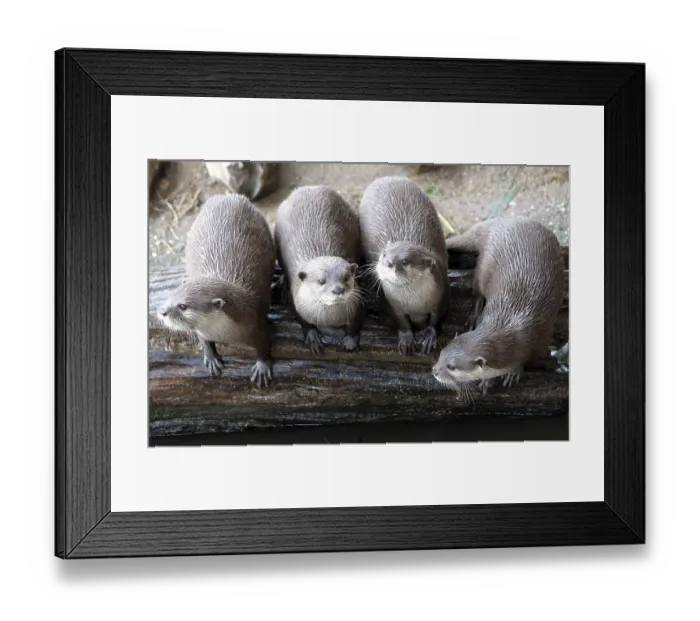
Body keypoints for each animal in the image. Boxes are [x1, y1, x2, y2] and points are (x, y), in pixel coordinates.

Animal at [159, 194, 276, 387]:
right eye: (172, 294)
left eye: (183, 306)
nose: (162, 311)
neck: (224, 334)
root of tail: (228, 196)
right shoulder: (202, 331)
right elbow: (203, 340)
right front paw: (211, 356)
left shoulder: (257, 322)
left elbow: (264, 345)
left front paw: (262, 366)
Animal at [274, 186, 365, 353]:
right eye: (321, 281)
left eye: (346, 278)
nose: (338, 289)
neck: (330, 318)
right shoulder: (297, 302)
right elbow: (303, 322)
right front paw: (312, 337)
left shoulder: (358, 305)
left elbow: (355, 325)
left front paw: (350, 341)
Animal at [358, 176, 450, 354]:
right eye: (384, 254)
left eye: (405, 261)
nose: (388, 262)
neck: (415, 303)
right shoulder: (396, 306)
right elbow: (403, 322)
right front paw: (407, 340)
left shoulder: (440, 297)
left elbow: (435, 320)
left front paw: (430, 335)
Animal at [432, 216, 565, 393]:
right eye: (441, 353)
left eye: (451, 366)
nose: (434, 370)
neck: (514, 330)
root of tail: (497, 223)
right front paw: (487, 380)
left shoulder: (540, 340)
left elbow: (526, 360)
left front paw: (514, 371)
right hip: (484, 267)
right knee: (478, 291)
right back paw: (473, 317)